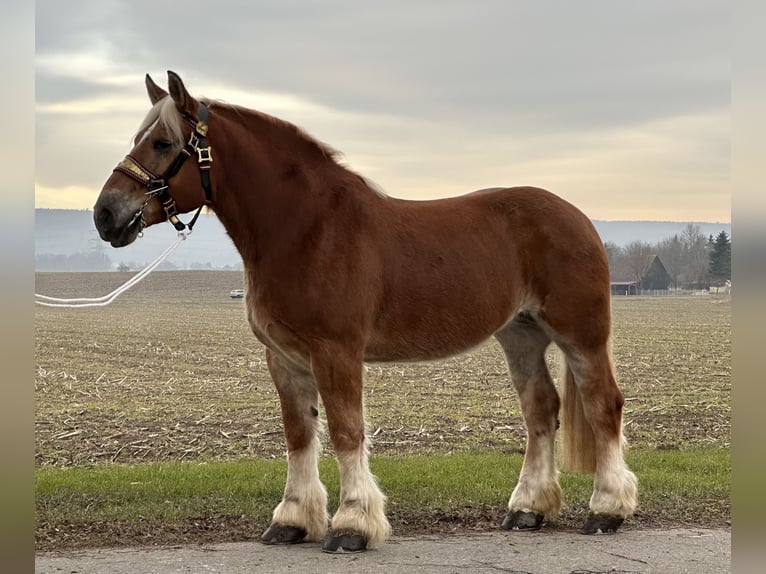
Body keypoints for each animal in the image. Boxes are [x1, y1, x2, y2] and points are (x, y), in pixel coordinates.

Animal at [93, 71, 640, 552]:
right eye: (139, 137)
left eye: (163, 143)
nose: (105, 214)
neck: (306, 229)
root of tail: (578, 217)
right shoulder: (284, 358)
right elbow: (299, 434)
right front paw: (292, 520)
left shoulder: (336, 351)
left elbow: (346, 430)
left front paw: (352, 524)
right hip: (521, 334)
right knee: (540, 409)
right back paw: (529, 508)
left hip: (581, 334)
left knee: (603, 405)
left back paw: (607, 509)